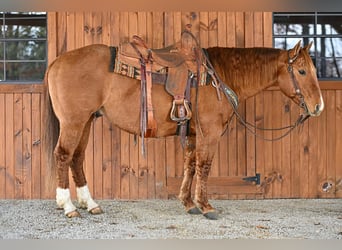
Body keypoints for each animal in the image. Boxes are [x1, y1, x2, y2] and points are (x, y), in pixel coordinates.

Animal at [43, 39, 324, 219]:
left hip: (87, 120)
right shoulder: (210, 133)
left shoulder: (192, 133)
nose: (318, 106)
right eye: (301, 71)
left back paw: (90, 204)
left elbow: (189, 165)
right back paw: (68, 206)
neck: (220, 75)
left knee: (77, 158)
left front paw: (188, 203)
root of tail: (57, 61)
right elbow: (204, 166)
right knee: (63, 155)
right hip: (74, 121)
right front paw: (206, 206)